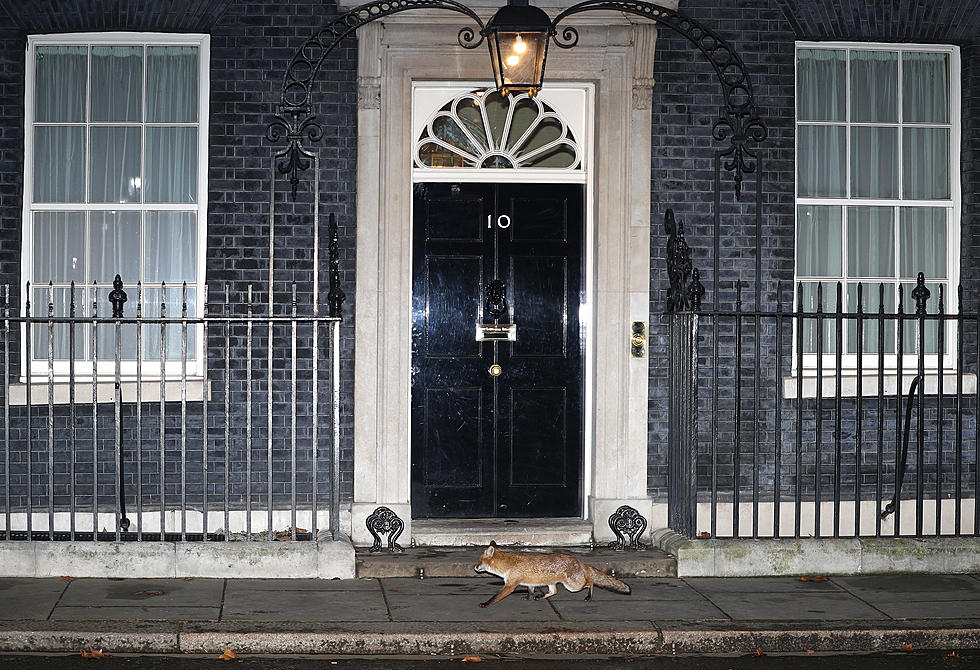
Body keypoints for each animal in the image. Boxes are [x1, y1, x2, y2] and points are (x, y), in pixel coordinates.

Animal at [472, 540, 628, 608]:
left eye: (480, 560)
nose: (475, 567)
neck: (507, 565)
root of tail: (578, 560)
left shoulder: (510, 585)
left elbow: (496, 597)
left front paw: (486, 603)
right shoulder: (530, 583)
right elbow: (530, 591)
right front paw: (529, 597)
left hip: (573, 586)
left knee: (590, 581)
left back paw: (589, 596)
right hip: (553, 583)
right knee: (554, 592)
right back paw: (541, 597)